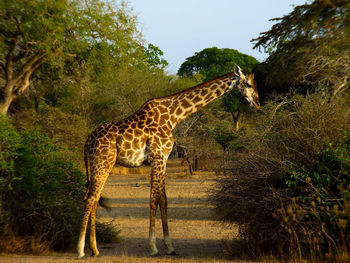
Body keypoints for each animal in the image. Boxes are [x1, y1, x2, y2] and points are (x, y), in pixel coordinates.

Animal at [76, 65, 258, 258]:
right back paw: (80, 249)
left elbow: (163, 200)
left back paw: (95, 249)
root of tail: (87, 141)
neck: (173, 116)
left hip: (102, 165)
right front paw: (153, 247)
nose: (257, 103)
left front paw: (169, 246)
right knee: (90, 198)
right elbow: (153, 199)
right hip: (102, 162)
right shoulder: (157, 157)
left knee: (95, 199)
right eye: (248, 84)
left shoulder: (163, 159)